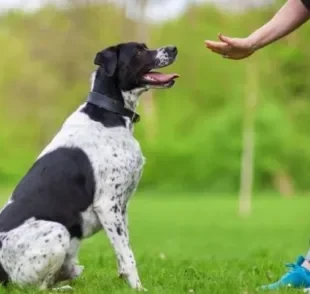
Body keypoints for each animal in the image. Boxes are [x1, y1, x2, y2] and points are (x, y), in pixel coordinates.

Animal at [0, 42, 179, 290]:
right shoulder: (108, 204)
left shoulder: (121, 208)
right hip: (57, 231)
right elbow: (128, 255)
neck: (108, 114)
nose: (173, 48)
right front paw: (138, 288)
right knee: (36, 287)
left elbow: (123, 252)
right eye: (139, 51)